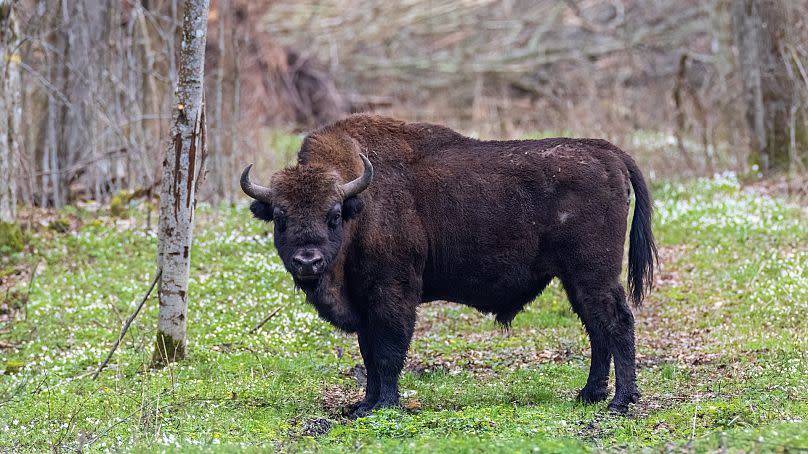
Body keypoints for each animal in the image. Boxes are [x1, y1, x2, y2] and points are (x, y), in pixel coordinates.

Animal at [241, 113, 656, 414]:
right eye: (280, 217)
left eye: (333, 215)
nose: (307, 260)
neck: (360, 203)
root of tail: (607, 153)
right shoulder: (364, 304)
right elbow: (368, 354)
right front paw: (363, 404)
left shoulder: (393, 295)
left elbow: (387, 352)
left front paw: (382, 406)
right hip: (574, 279)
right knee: (596, 327)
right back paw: (589, 395)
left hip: (593, 273)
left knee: (617, 322)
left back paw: (620, 402)